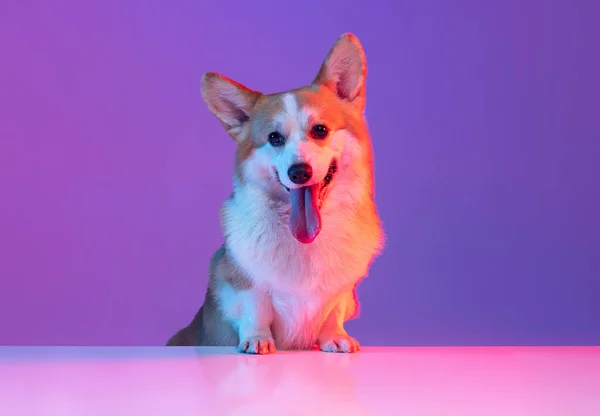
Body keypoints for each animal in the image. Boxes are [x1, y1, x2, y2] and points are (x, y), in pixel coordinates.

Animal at [169, 33, 384, 354]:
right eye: (274, 138)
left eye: (321, 130)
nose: (299, 172)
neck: (305, 240)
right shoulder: (239, 280)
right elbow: (256, 307)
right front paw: (257, 340)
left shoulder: (342, 289)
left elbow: (333, 310)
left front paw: (335, 337)